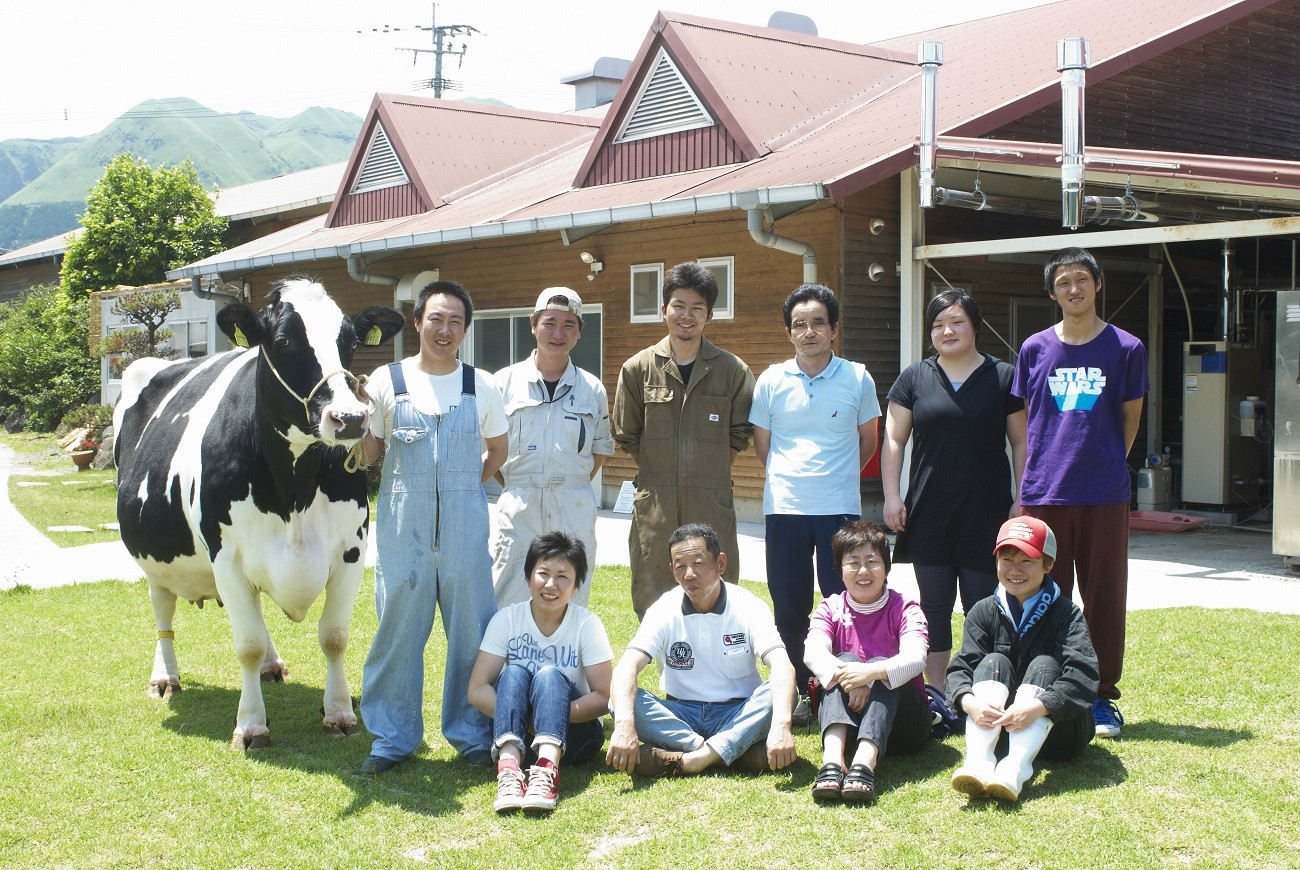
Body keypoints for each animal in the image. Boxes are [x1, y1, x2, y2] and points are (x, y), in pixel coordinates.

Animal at [114, 276, 403, 749]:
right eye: (283, 340)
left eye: (350, 341)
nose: (350, 418)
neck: (294, 491)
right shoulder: (226, 559)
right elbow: (245, 644)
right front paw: (250, 725)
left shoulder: (352, 552)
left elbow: (335, 637)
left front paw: (340, 713)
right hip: (154, 558)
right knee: (162, 609)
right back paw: (165, 676)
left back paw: (271, 664)